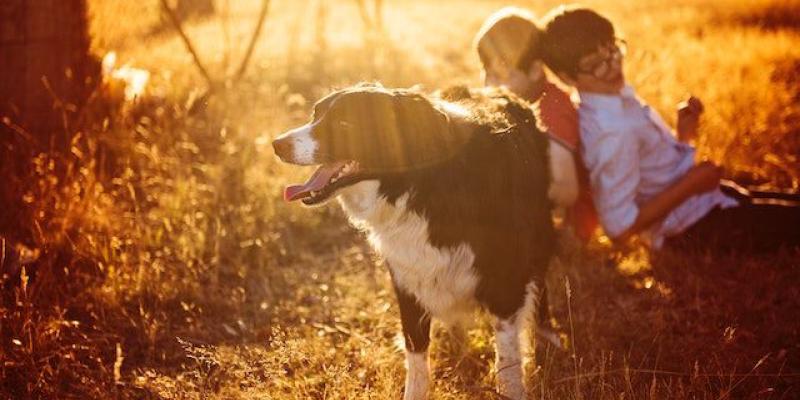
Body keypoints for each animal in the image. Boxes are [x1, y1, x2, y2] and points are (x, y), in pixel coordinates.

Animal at [274, 84, 576, 400]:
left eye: (344, 124)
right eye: (315, 114)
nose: (276, 144)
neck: (420, 185)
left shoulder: (504, 281)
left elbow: (506, 363)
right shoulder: (407, 279)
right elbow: (416, 356)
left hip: (540, 232)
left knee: (540, 282)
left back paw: (548, 335)